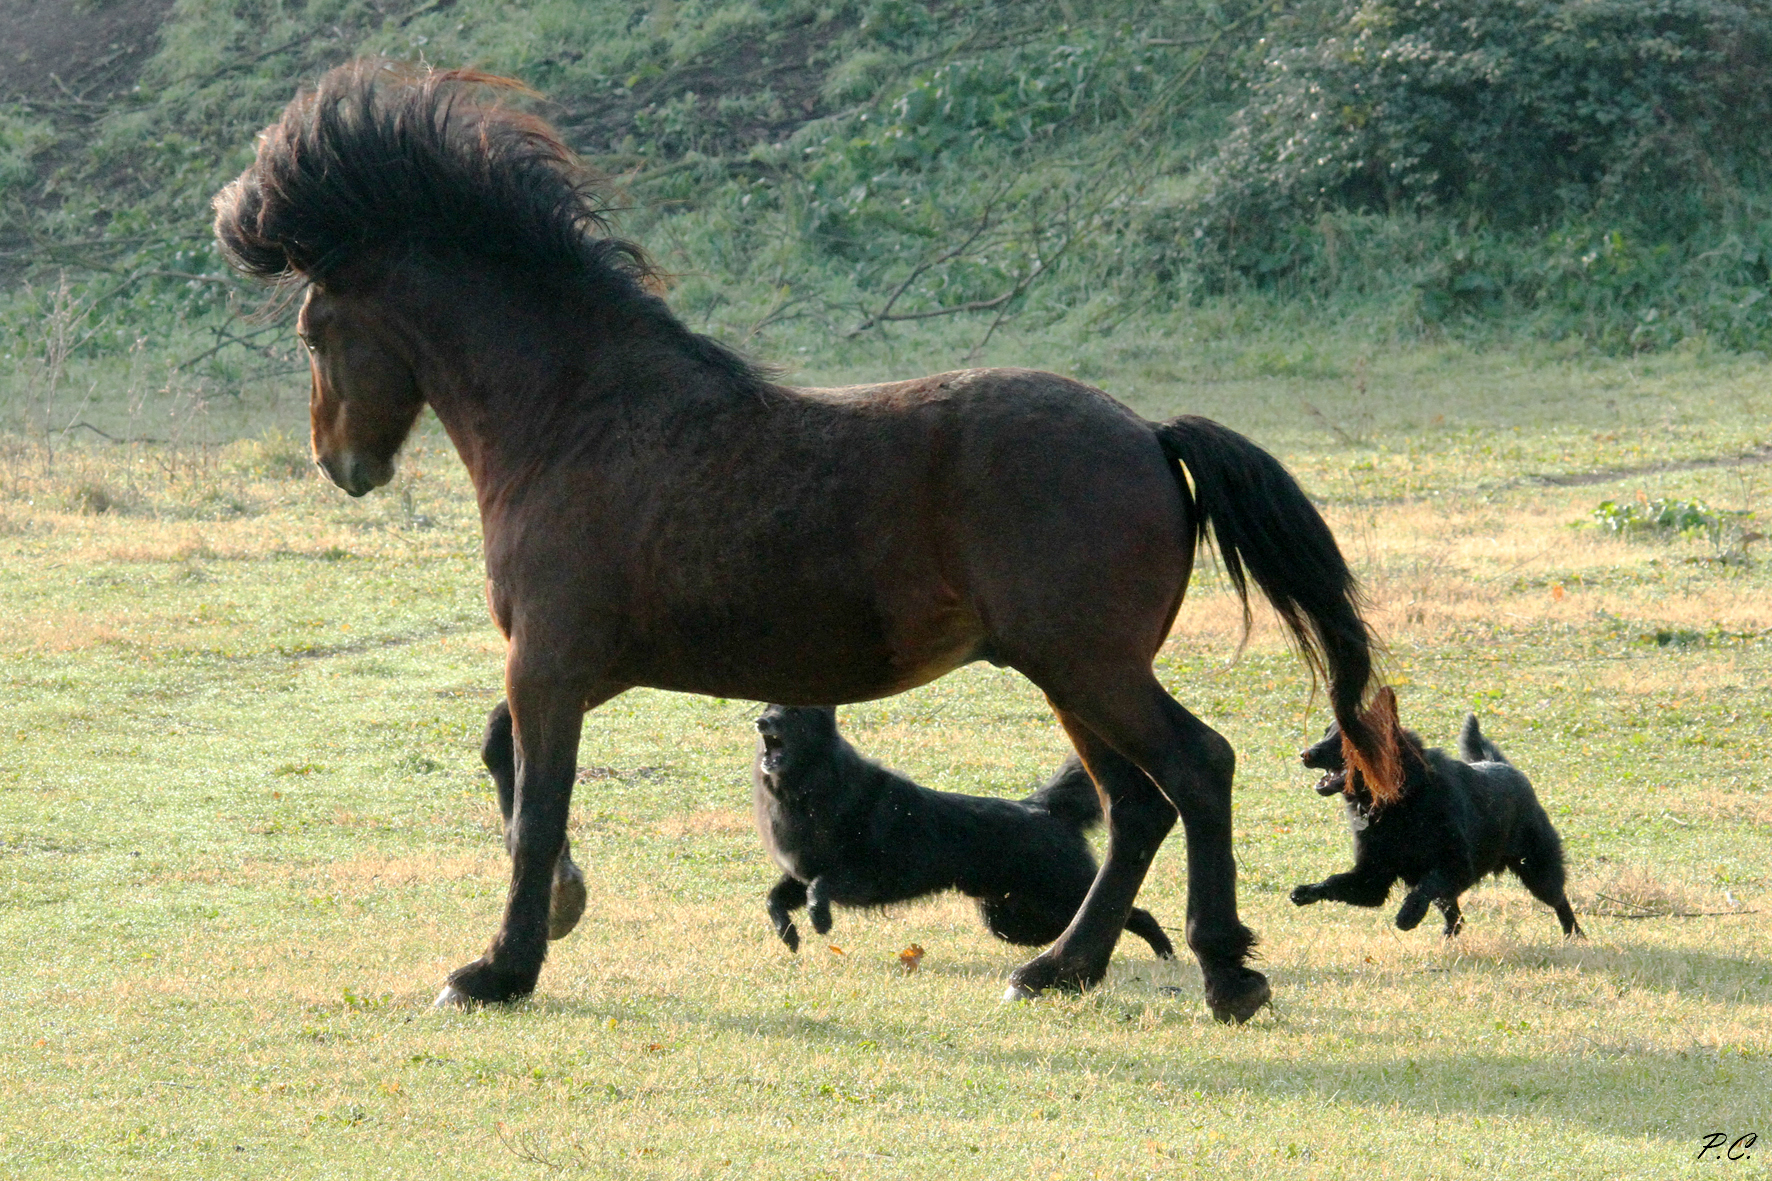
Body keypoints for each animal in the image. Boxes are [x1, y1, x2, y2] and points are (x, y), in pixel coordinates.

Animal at [212, 60, 1397, 1023]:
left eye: (313, 332)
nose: (339, 463)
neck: (576, 416)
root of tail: (1149, 434)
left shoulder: (548, 661)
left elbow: (536, 802)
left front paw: (498, 967)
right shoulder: (583, 663)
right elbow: (505, 762)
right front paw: (560, 909)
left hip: (1088, 663)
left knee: (1195, 770)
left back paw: (1225, 973)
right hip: (1070, 671)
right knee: (1135, 805)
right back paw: (1058, 968)